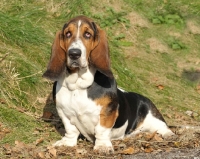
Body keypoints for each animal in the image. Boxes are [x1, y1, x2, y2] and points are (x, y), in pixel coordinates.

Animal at [43, 15, 174, 153]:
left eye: (88, 34)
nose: (74, 53)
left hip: (153, 117)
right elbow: (71, 130)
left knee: (163, 127)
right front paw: (67, 143)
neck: (79, 85)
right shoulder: (64, 112)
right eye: (68, 34)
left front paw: (102, 146)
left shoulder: (107, 112)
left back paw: (168, 135)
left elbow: (101, 130)